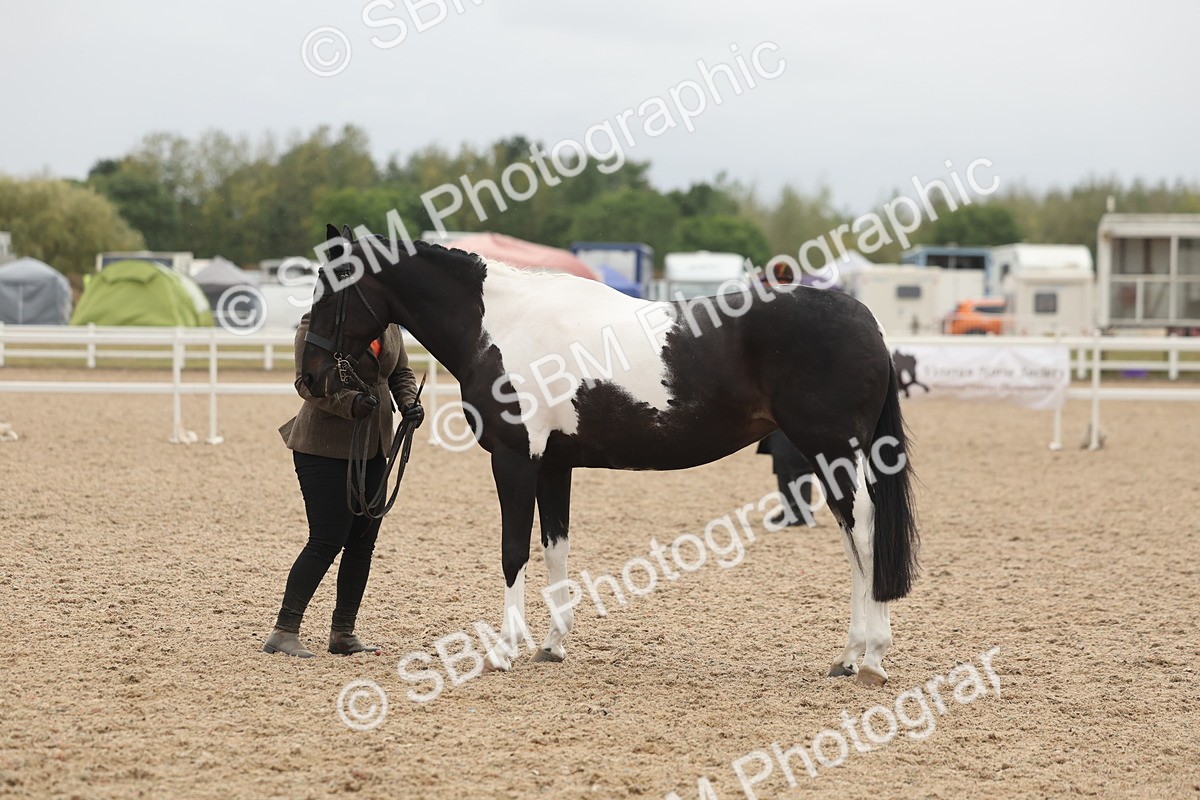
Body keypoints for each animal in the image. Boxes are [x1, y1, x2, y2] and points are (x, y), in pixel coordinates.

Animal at [300, 225, 918, 686]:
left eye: (332, 285)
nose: (311, 378)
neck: (502, 324)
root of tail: (869, 323)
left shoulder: (515, 459)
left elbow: (511, 551)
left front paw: (503, 651)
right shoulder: (554, 465)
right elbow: (554, 549)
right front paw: (552, 645)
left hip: (832, 451)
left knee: (864, 534)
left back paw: (871, 658)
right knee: (853, 540)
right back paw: (848, 657)